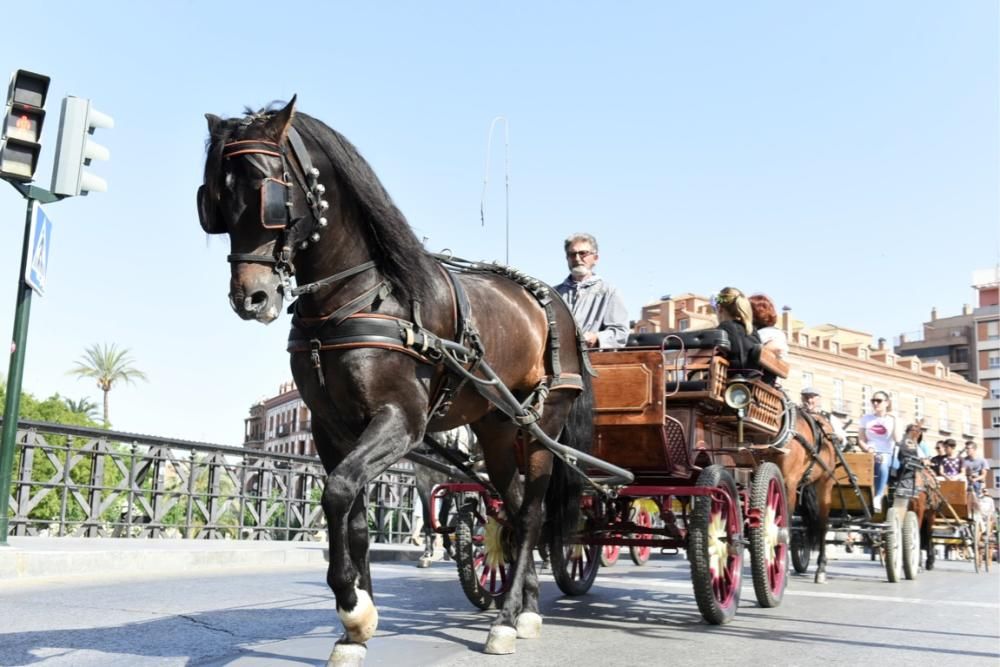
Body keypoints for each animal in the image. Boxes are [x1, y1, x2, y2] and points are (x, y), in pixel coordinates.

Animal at [199, 100, 596, 664]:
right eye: (214, 200)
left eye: (267, 190)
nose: (250, 297)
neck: (359, 298)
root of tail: (557, 306)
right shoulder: (330, 429)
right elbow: (354, 518)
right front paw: (354, 629)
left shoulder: (400, 423)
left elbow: (338, 493)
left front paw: (353, 606)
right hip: (497, 430)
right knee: (518, 509)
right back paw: (525, 609)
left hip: (540, 426)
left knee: (534, 513)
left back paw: (504, 621)